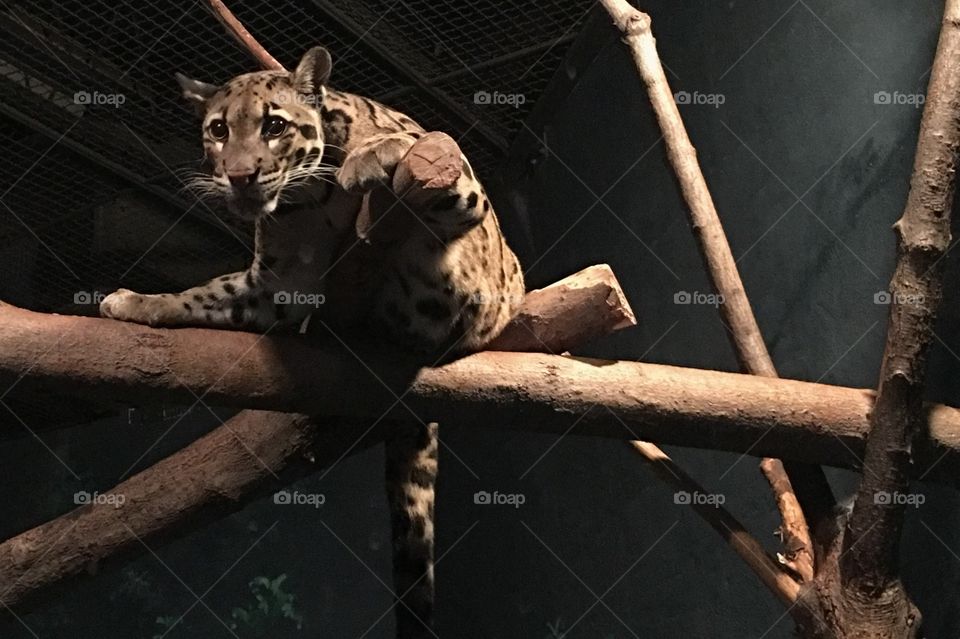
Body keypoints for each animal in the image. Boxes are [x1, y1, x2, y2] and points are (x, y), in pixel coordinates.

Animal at [97, 47, 524, 636]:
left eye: (274, 126)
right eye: (218, 130)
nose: (241, 176)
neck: (307, 197)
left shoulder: (466, 192)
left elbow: (410, 140)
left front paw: (371, 153)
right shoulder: (276, 284)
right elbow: (204, 294)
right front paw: (137, 303)